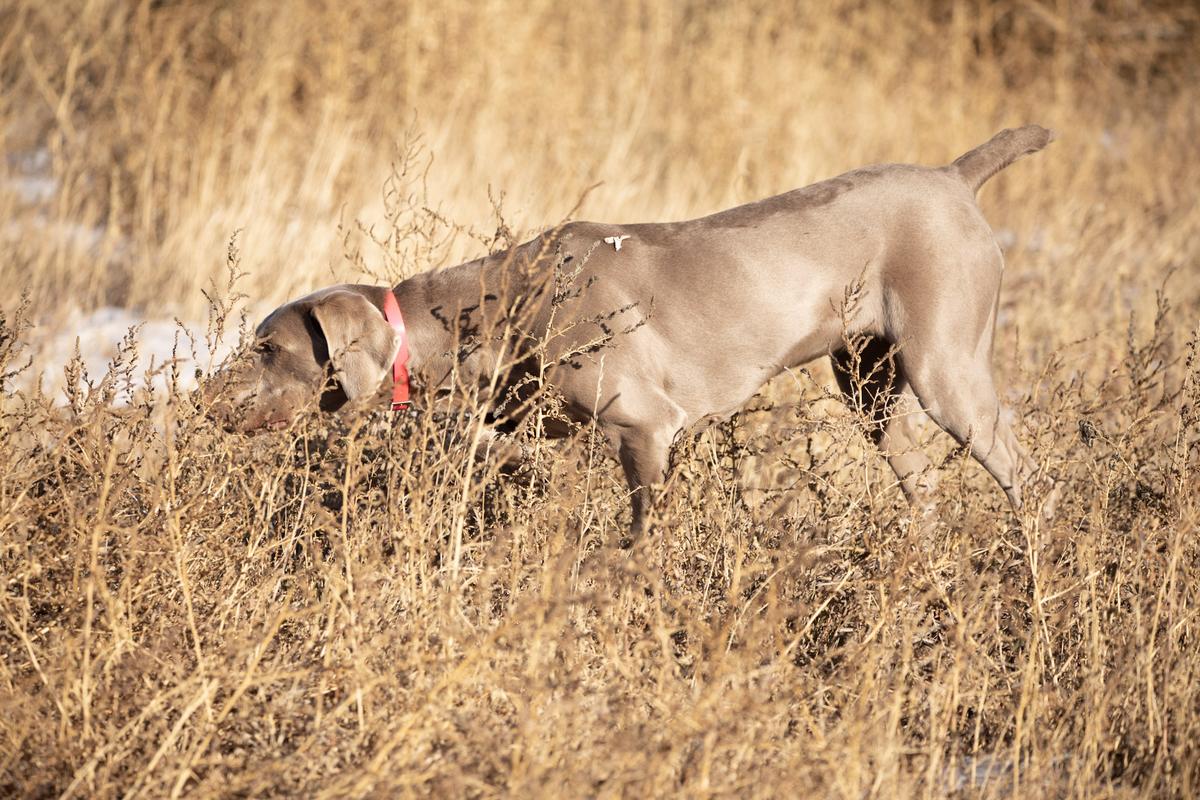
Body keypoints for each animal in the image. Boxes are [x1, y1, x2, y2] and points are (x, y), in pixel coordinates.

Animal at [211, 125, 1056, 534]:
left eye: (268, 348)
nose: (206, 402)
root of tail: (952, 176)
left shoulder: (645, 426)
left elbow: (642, 531)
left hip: (944, 364)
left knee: (1024, 474)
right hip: (871, 384)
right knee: (925, 486)